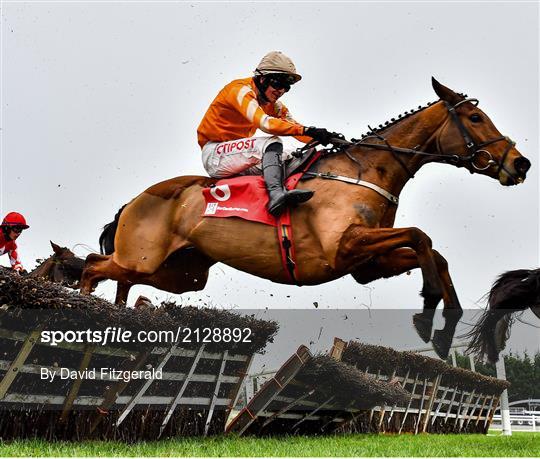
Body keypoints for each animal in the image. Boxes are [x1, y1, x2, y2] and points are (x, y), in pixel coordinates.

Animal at [81, 79, 532, 360]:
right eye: (475, 119)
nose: (520, 163)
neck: (365, 172)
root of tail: (134, 200)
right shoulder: (345, 247)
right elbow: (421, 237)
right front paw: (427, 311)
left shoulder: (367, 264)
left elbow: (434, 254)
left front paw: (444, 327)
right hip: (144, 259)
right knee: (92, 267)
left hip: (182, 274)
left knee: (117, 276)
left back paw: (119, 319)